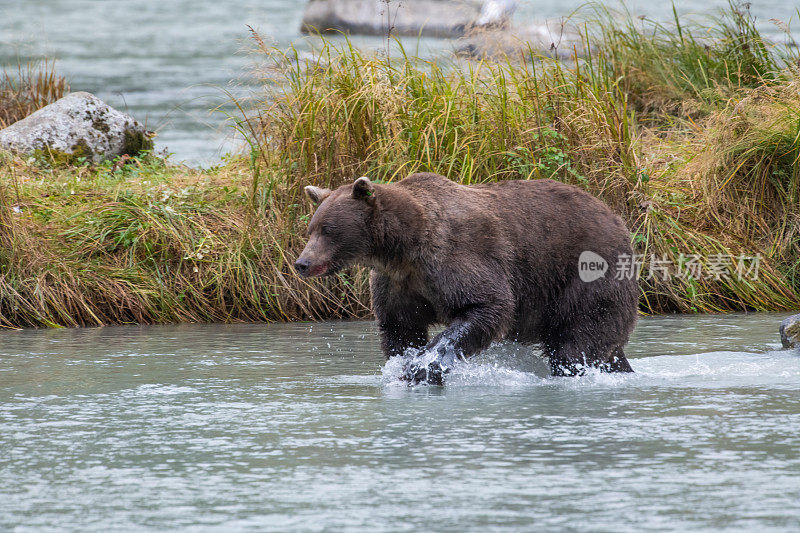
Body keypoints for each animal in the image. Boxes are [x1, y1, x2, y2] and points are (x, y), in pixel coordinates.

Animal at [294, 172, 636, 384]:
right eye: (311, 228)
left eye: (328, 230)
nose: (302, 263)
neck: (403, 248)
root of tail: (615, 218)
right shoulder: (397, 283)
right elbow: (400, 327)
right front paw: (404, 362)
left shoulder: (457, 257)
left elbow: (487, 305)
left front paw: (422, 367)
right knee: (605, 344)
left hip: (584, 272)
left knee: (577, 340)